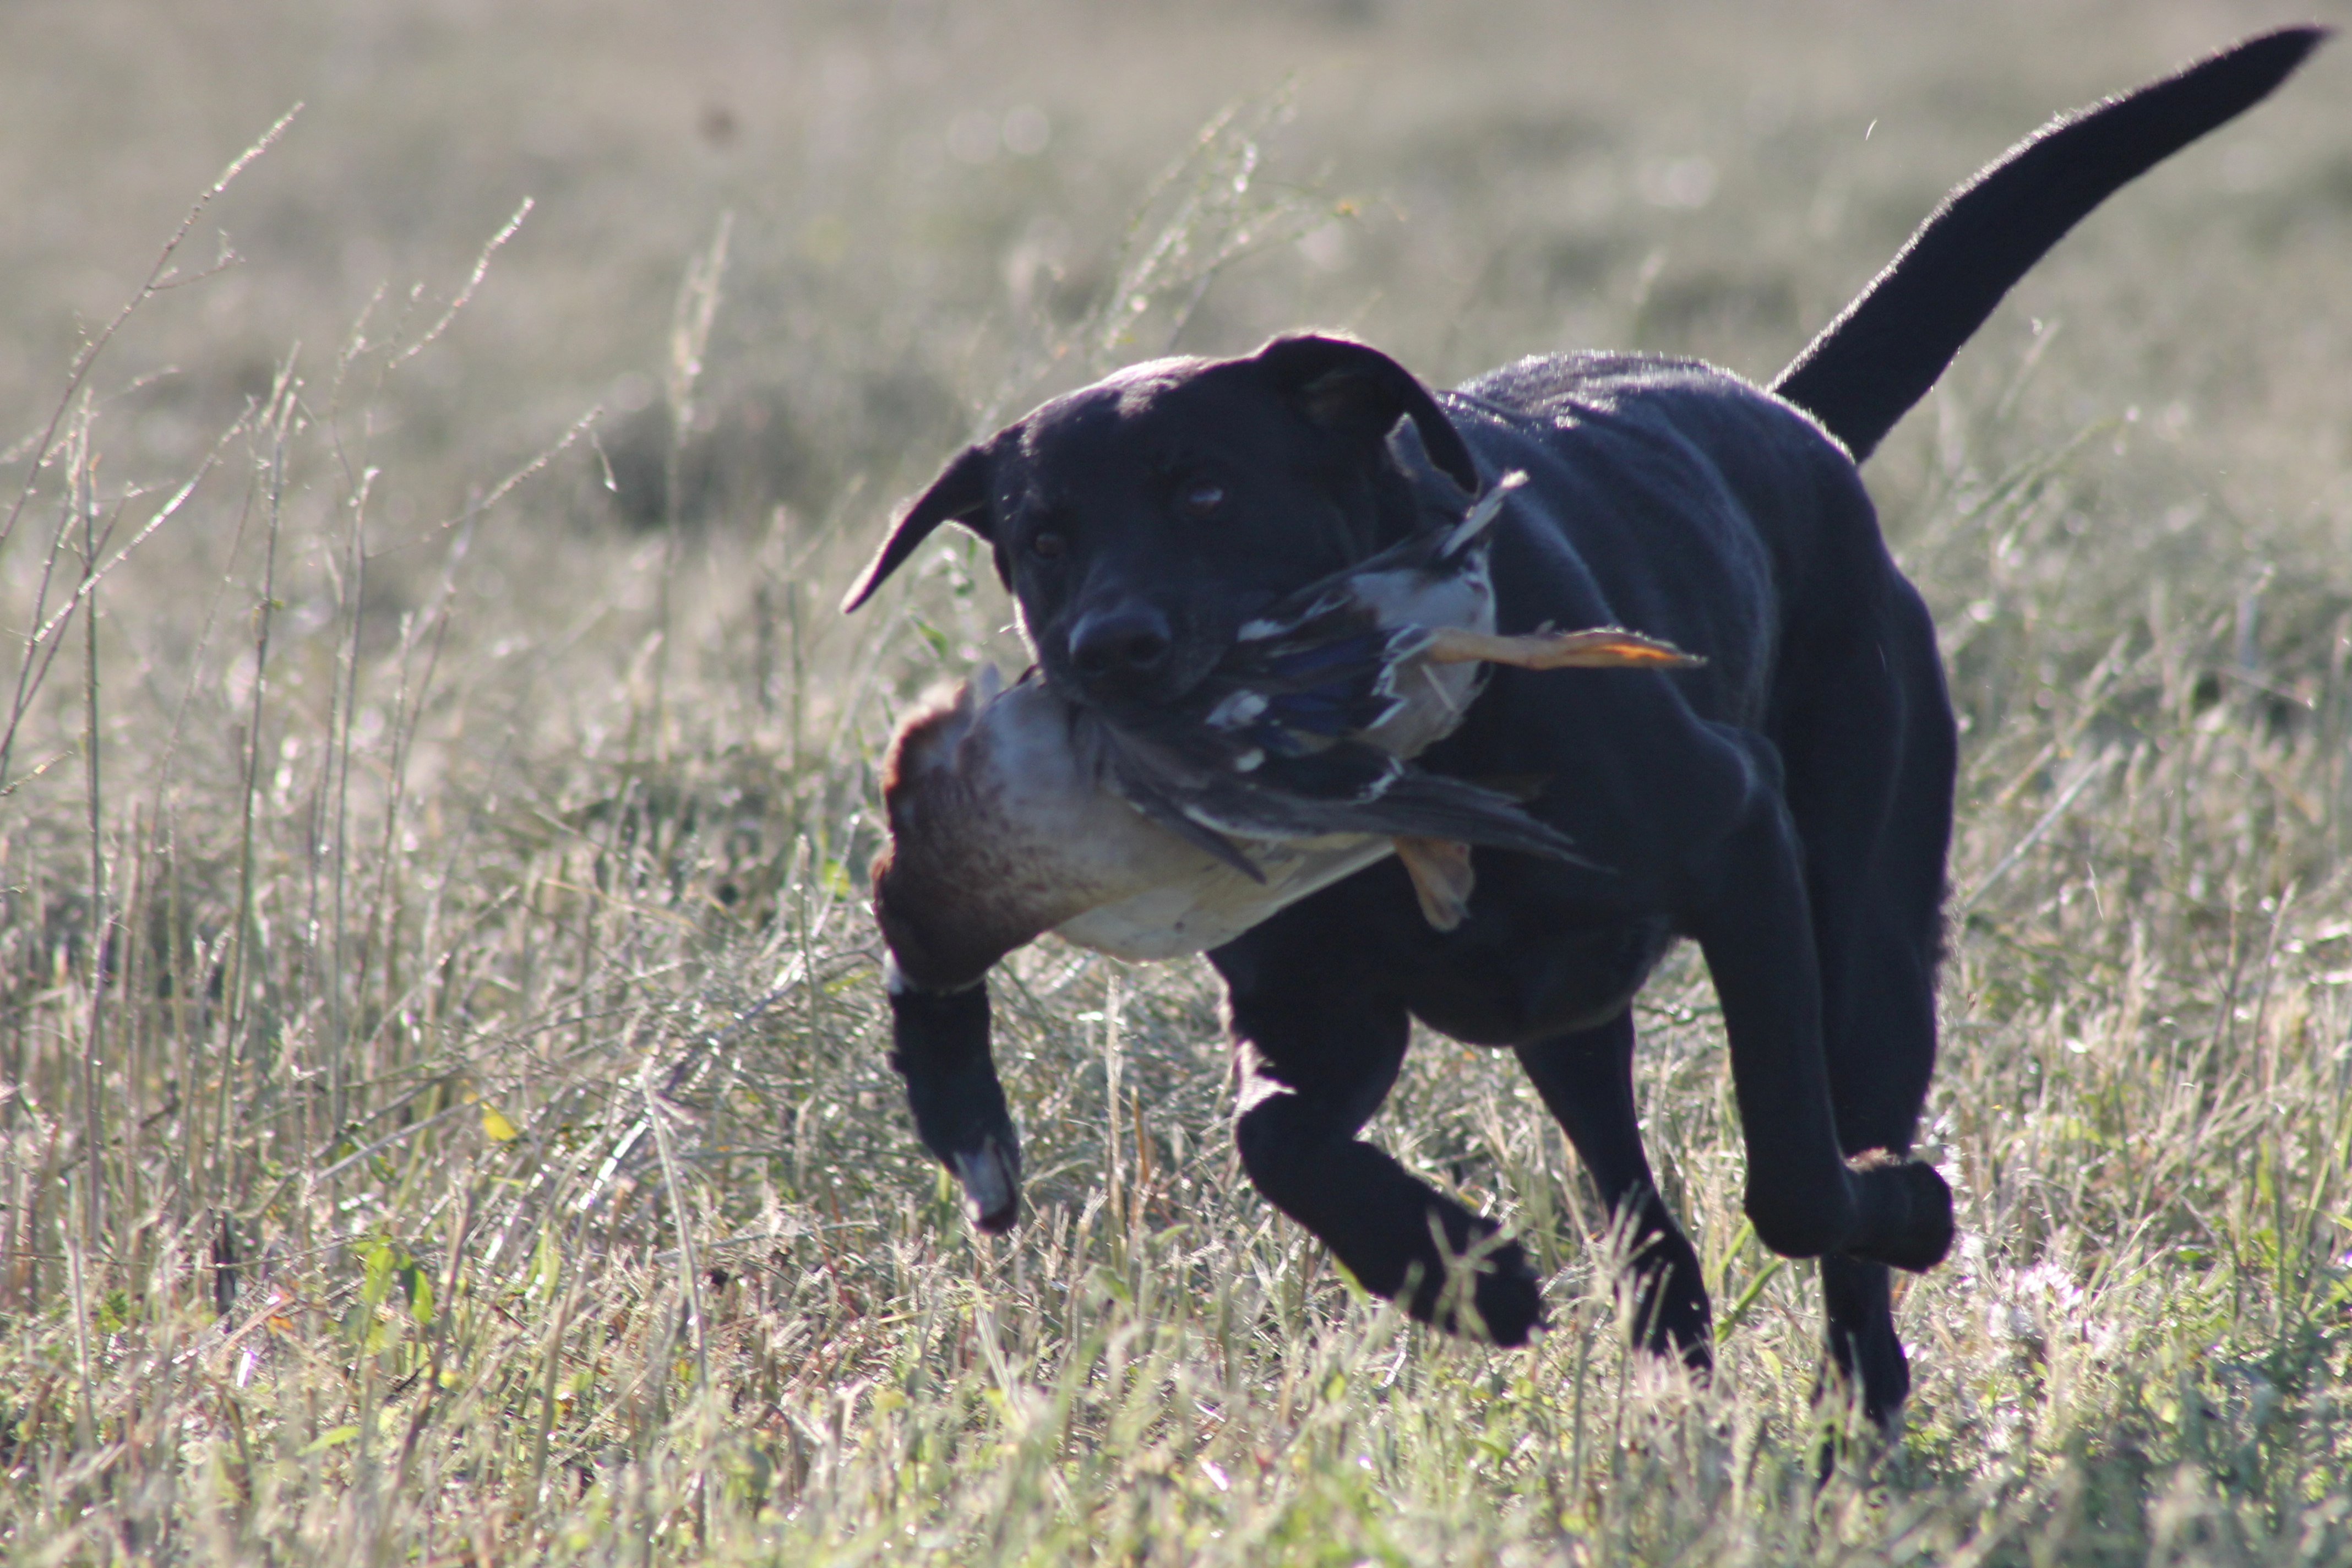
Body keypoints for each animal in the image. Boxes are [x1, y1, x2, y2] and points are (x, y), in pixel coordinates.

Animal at [842, 30, 2314, 1429]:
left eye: (1205, 489)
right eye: (1041, 540)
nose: (1110, 651)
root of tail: (1797, 420)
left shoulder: (1744, 851)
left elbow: (1794, 1170)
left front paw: (1908, 1208)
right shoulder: (1314, 1005)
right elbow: (1279, 1140)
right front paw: (1461, 1274)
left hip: (1870, 935)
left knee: (1838, 1134)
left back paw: (1863, 1380)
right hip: (1571, 1018)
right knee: (1641, 1214)